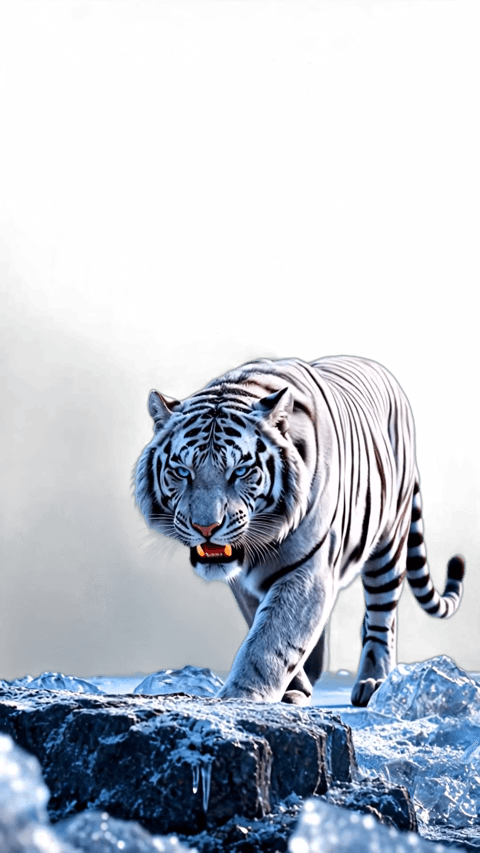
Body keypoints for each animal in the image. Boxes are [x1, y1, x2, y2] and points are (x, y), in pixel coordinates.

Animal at [133, 355, 465, 707]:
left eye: (240, 471)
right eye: (183, 471)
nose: (205, 527)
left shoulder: (308, 569)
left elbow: (271, 639)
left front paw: (243, 696)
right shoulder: (245, 585)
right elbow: (268, 627)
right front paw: (295, 687)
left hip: (388, 545)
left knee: (382, 616)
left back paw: (373, 682)